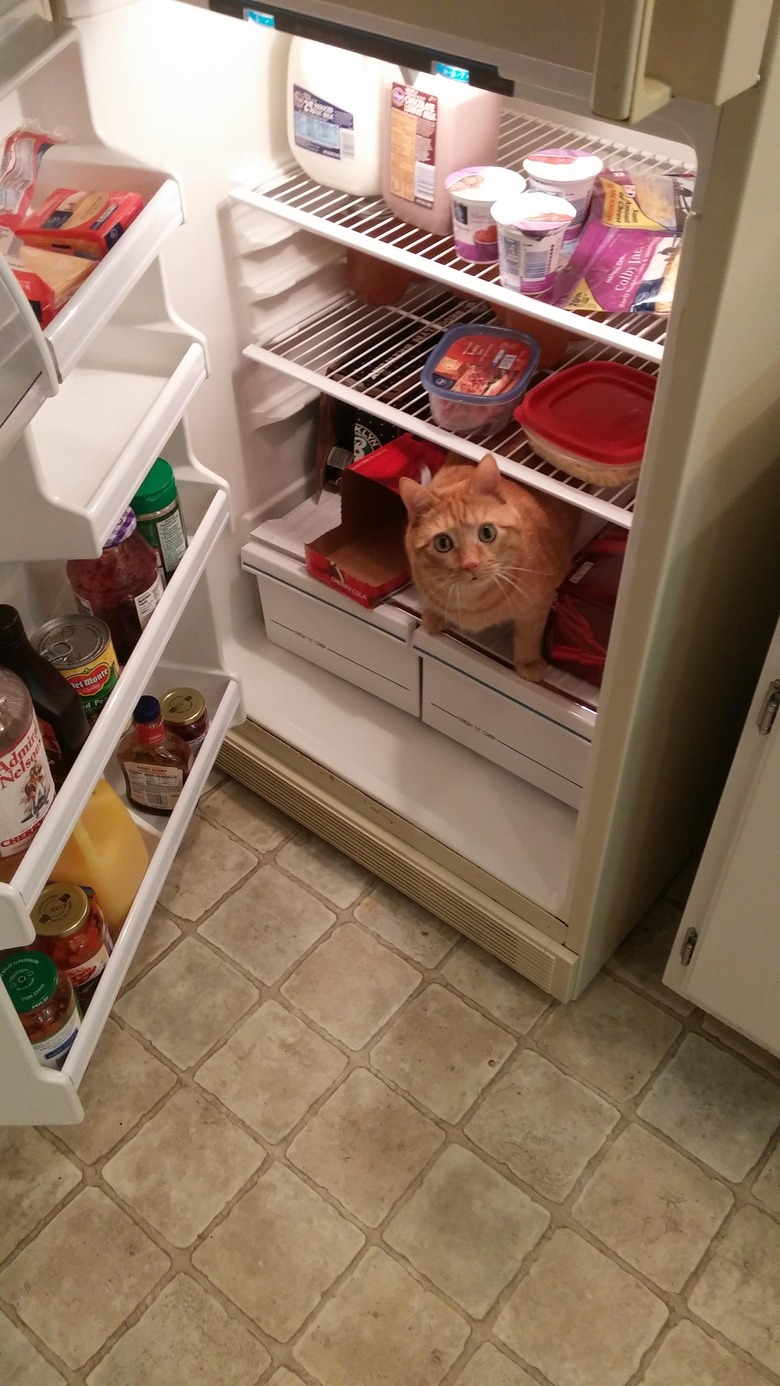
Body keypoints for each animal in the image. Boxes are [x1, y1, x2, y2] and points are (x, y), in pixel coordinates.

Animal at [399, 454, 576, 681]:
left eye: (487, 533)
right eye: (443, 543)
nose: (470, 564)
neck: (473, 602)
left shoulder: (539, 603)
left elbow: (529, 633)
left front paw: (528, 663)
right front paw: (435, 614)